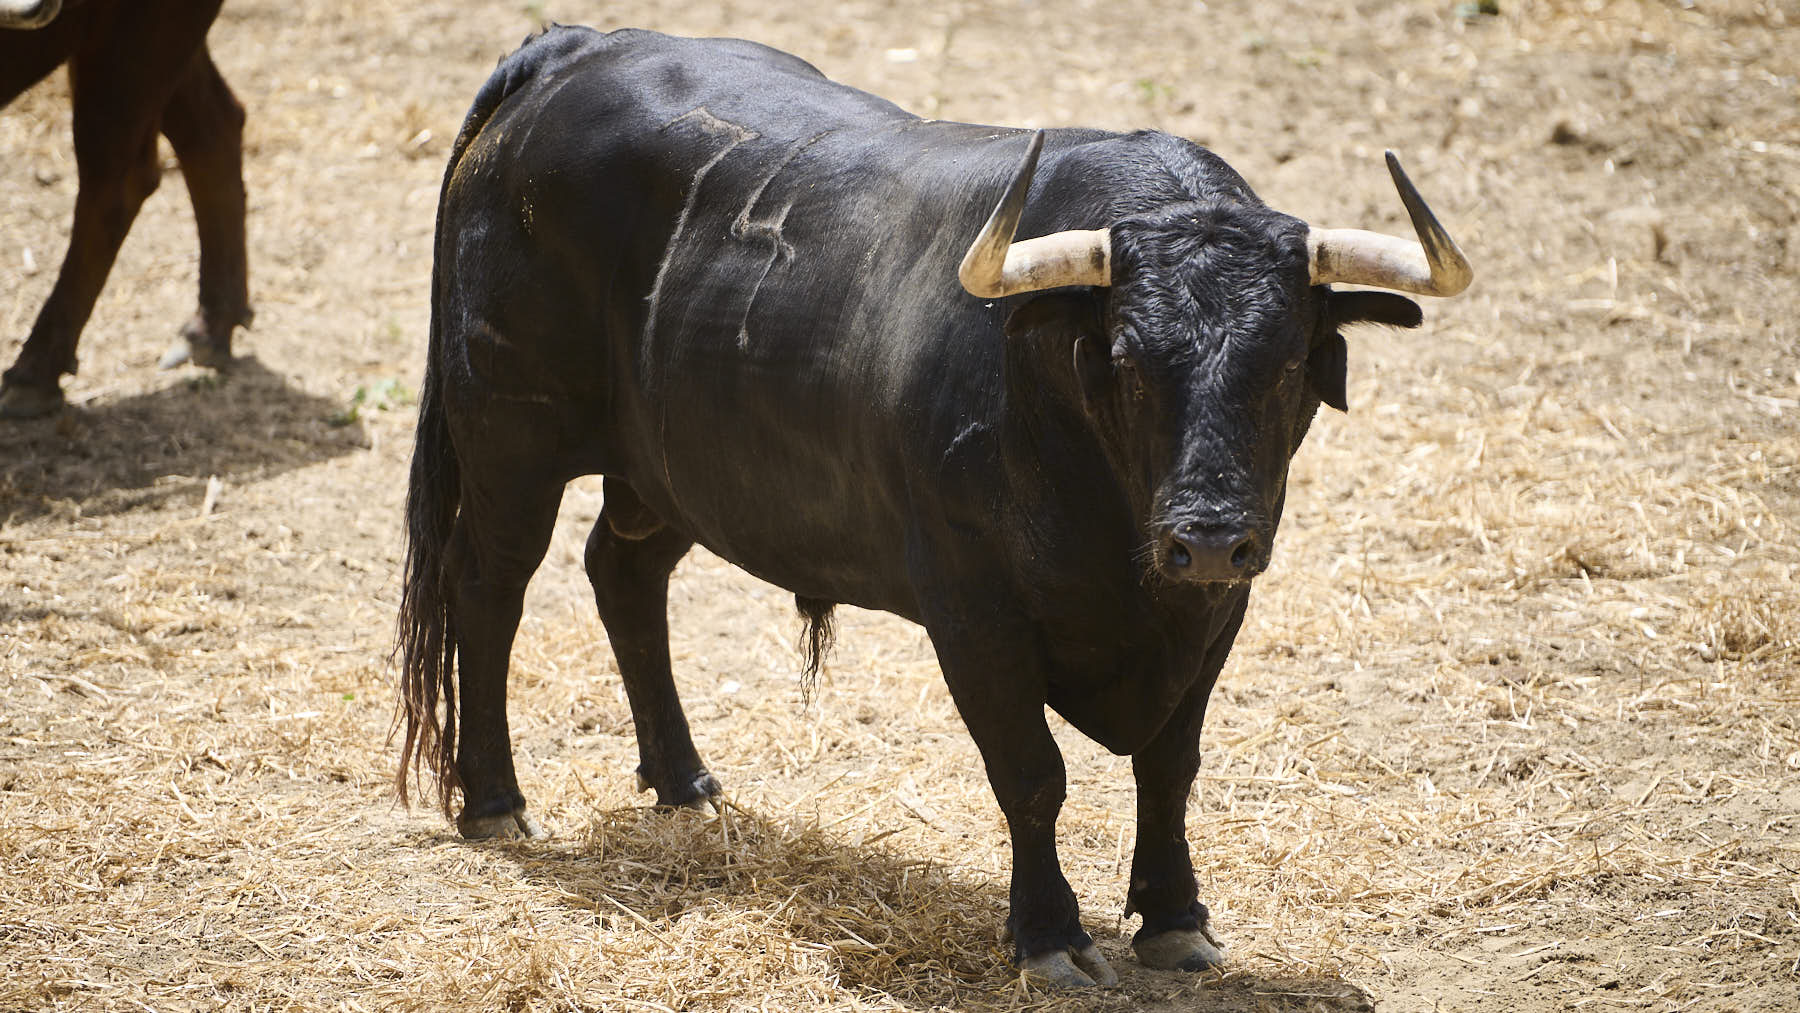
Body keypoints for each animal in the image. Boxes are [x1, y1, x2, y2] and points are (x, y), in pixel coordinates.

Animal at [401, 25, 1468, 993]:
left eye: (1286, 361)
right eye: (1125, 359)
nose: (1204, 537)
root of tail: (572, 49)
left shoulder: (1215, 611)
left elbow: (1170, 763)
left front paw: (1175, 919)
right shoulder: (973, 610)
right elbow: (1032, 771)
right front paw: (1049, 935)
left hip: (668, 470)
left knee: (623, 575)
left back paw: (686, 783)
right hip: (510, 441)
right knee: (488, 588)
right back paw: (494, 799)